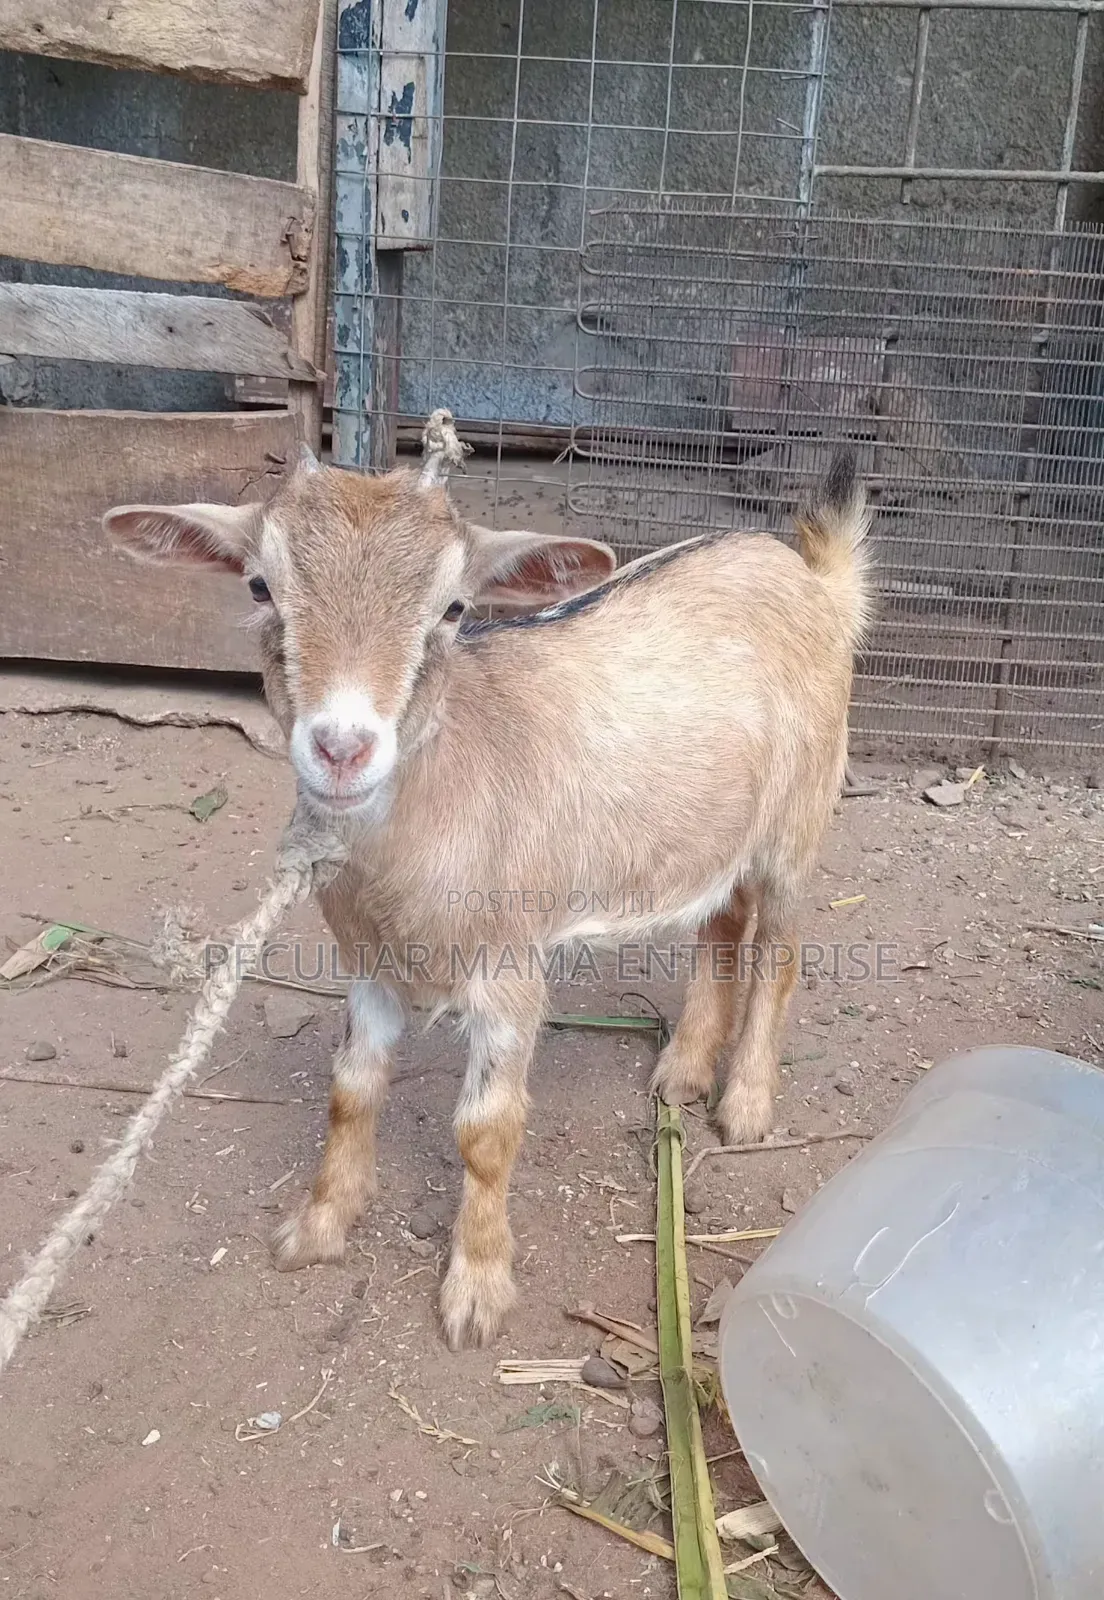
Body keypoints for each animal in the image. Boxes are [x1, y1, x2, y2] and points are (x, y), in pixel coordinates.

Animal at [103, 433, 870, 1349]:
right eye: (259, 585)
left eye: (454, 608)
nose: (342, 748)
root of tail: (810, 574)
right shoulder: (368, 964)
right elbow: (351, 1088)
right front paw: (318, 1228)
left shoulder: (510, 968)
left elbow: (485, 1130)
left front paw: (475, 1293)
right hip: (713, 830)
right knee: (722, 921)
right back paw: (681, 1072)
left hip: (799, 817)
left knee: (781, 949)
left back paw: (745, 1102)